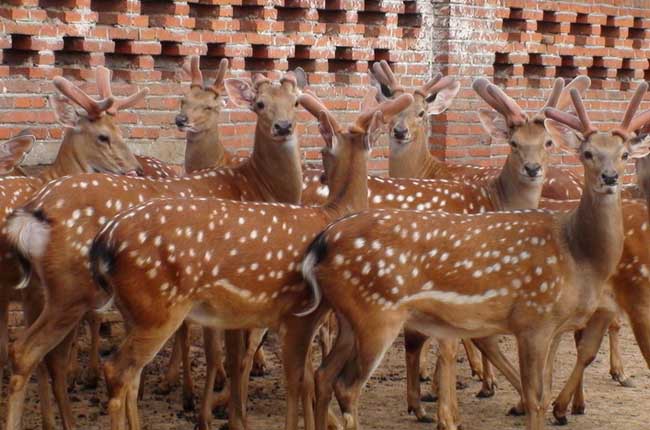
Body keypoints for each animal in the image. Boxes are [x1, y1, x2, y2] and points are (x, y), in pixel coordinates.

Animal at [3, 70, 306, 430]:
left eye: (297, 101)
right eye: (259, 104)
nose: (284, 127)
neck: (255, 186)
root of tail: (34, 209)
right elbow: (231, 357)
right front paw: (229, 417)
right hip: (70, 288)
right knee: (36, 353)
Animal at [300, 84, 648, 430]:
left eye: (624, 154)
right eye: (587, 153)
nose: (610, 177)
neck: (578, 255)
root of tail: (322, 242)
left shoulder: (552, 323)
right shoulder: (533, 318)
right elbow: (535, 395)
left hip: (350, 317)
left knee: (323, 374)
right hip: (376, 315)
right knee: (346, 385)